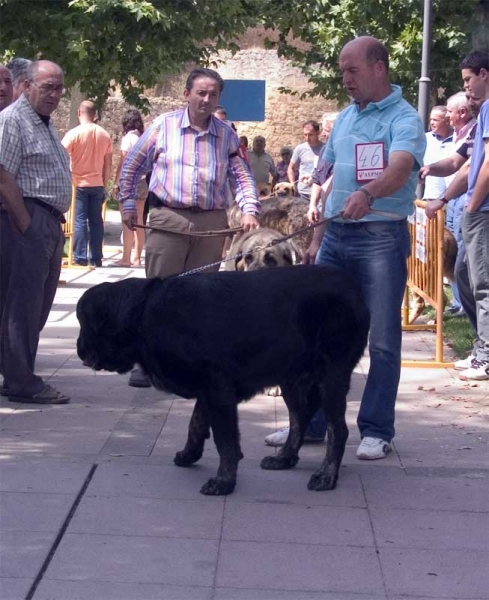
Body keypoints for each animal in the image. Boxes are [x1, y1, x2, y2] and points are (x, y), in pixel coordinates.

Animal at [75, 268, 366, 496]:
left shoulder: (217, 387)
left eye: (83, 322)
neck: (144, 313)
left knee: (338, 429)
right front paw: (190, 454)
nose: (78, 349)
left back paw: (326, 475)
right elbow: (196, 424)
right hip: (292, 379)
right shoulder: (208, 389)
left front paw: (224, 480)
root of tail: (354, 287)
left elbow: (224, 439)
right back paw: (285, 457)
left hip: (331, 375)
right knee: (300, 418)